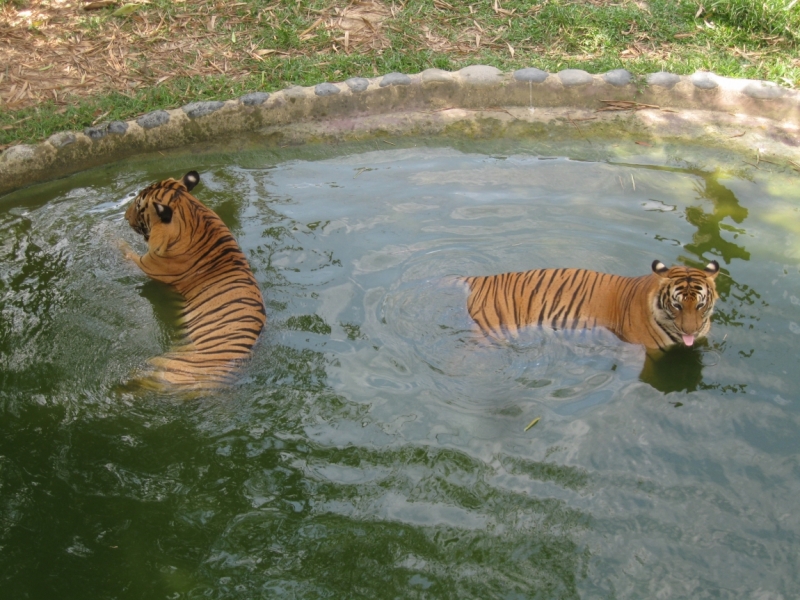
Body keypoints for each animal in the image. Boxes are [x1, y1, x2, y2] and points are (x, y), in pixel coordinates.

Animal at [119, 171, 268, 392]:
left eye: (138, 206)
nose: (125, 216)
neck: (192, 214)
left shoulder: (144, 265)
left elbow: (120, 247)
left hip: (165, 366)